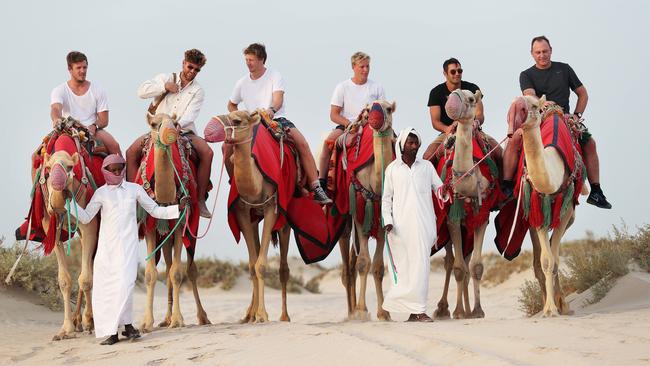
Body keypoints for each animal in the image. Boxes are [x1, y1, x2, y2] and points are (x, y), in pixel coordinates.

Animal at [139, 113, 210, 332]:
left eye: (176, 123)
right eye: (155, 124)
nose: (169, 131)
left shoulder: (180, 224)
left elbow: (177, 273)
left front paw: (178, 320)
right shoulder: (150, 226)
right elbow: (150, 274)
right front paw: (146, 322)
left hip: (191, 227)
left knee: (190, 269)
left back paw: (202, 317)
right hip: (163, 234)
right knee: (169, 263)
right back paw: (165, 318)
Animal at [215, 109, 292, 324]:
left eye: (237, 121)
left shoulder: (271, 207)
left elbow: (261, 265)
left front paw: (263, 314)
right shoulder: (242, 212)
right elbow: (252, 264)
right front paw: (256, 314)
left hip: (284, 221)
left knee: (283, 268)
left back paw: (284, 316)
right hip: (253, 218)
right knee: (255, 255)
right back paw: (248, 314)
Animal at [334, 99, 394, 320]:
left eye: (389, 109)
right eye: (368, 109)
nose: (373, 118)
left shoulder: (382, 221)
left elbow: (377, 267)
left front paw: (384, 312)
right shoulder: (361, 215)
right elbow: (363, 263)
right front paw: (360, 311)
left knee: (353, 260)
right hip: (345, 220)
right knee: (348, 266)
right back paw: (352, 311)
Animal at [428, 90, 494, 318]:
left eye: (473, 99)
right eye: (448, 95)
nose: (453, 102)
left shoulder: (482, 217)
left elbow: (476, 266)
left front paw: (478, 310)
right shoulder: (452, 219)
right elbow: (457, 268)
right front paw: (457, 311)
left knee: (466, 260)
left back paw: (466, 309)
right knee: (451, 261)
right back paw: (443, 308)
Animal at [504, 96, 580, 316]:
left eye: (533, 106)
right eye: (513, 105)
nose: (515, 124)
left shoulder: (566, 209)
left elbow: (554, 260)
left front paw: (559, 306)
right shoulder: (537, 207)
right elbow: (546, 261)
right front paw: (549, 309)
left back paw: (562, 302)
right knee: (539, 259)